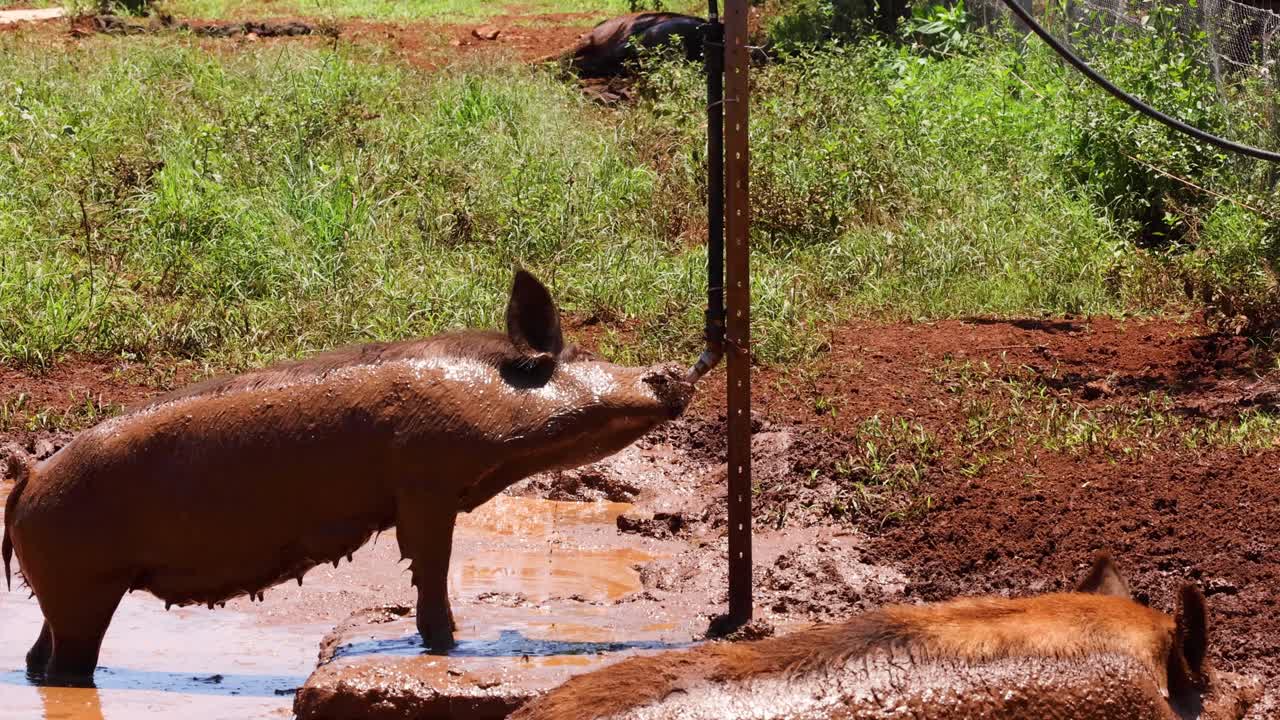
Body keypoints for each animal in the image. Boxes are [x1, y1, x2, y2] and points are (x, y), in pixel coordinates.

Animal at [2, 270, 694, 681]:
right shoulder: (424, 483)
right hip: (83, 582)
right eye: (583, 354)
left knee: (38, 656)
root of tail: (28, 480)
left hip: (62, 585)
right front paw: (446, 647)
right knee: (68, 668)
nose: (671, 373)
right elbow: (430, 568)